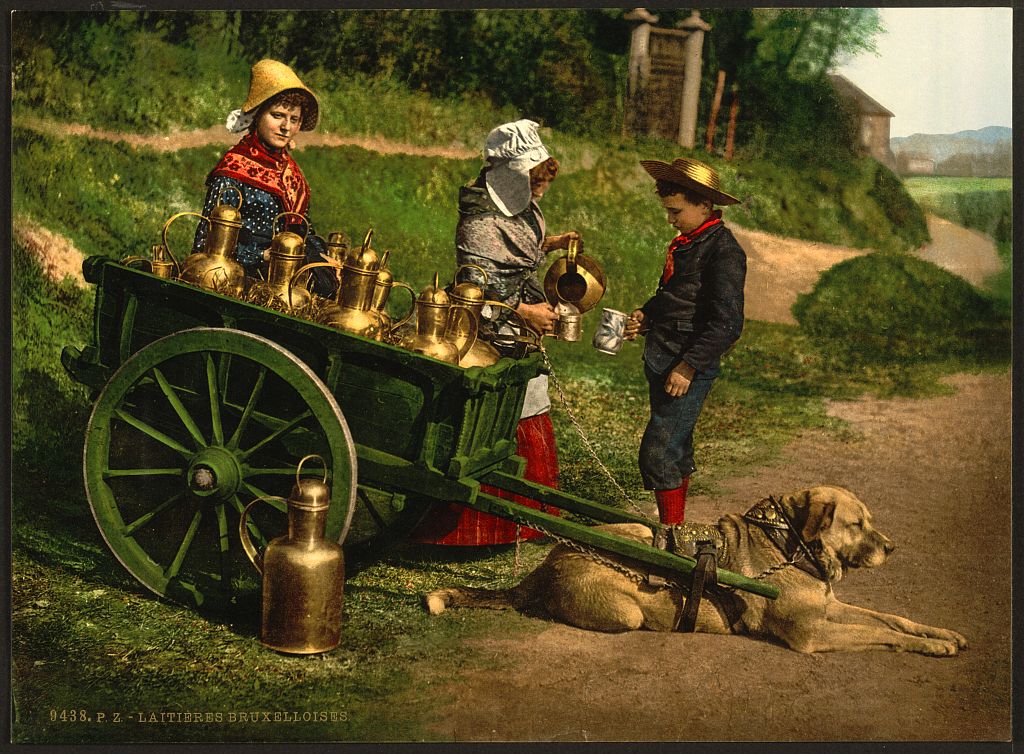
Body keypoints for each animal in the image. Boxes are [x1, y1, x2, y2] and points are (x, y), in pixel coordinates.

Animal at [423, 489, 966, 655]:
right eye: (857, 524)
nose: (892, 547)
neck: (789, 545)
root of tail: (544, 565)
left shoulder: (831, 608)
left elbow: (892, 620)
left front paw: (941, 634)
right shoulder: (813, 635)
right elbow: (881, 633)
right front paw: (930, 647)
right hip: (626, 605)